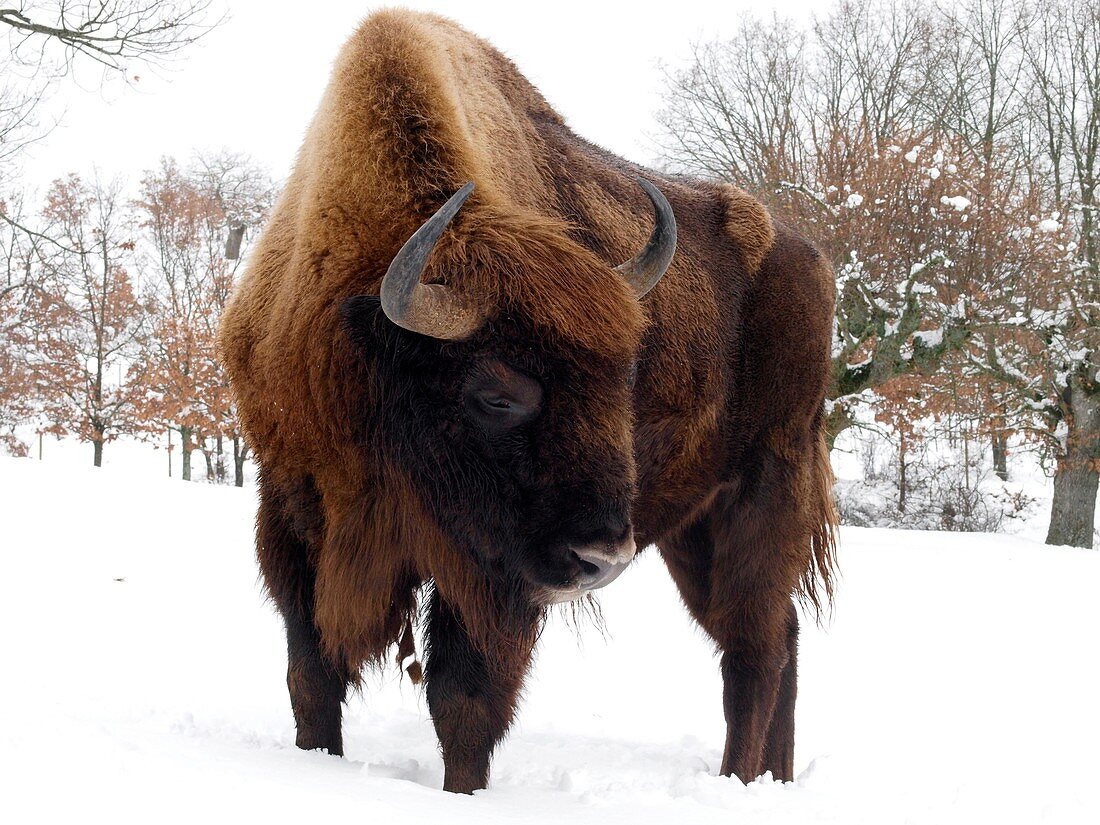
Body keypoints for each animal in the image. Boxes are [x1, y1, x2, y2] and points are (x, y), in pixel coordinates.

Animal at [218, 6, 831, 796]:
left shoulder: (492, 578)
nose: (601, 556)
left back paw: (738, 782)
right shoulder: (292, 512)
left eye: (625, 377)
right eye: (497, 396)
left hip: (760, 493)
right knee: (773, 635)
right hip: (691, 528)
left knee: (754, 650)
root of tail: (813, 261)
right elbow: (312, 677)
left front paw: (463, 791)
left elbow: (463, 701)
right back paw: (770, 779)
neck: (367, 338)